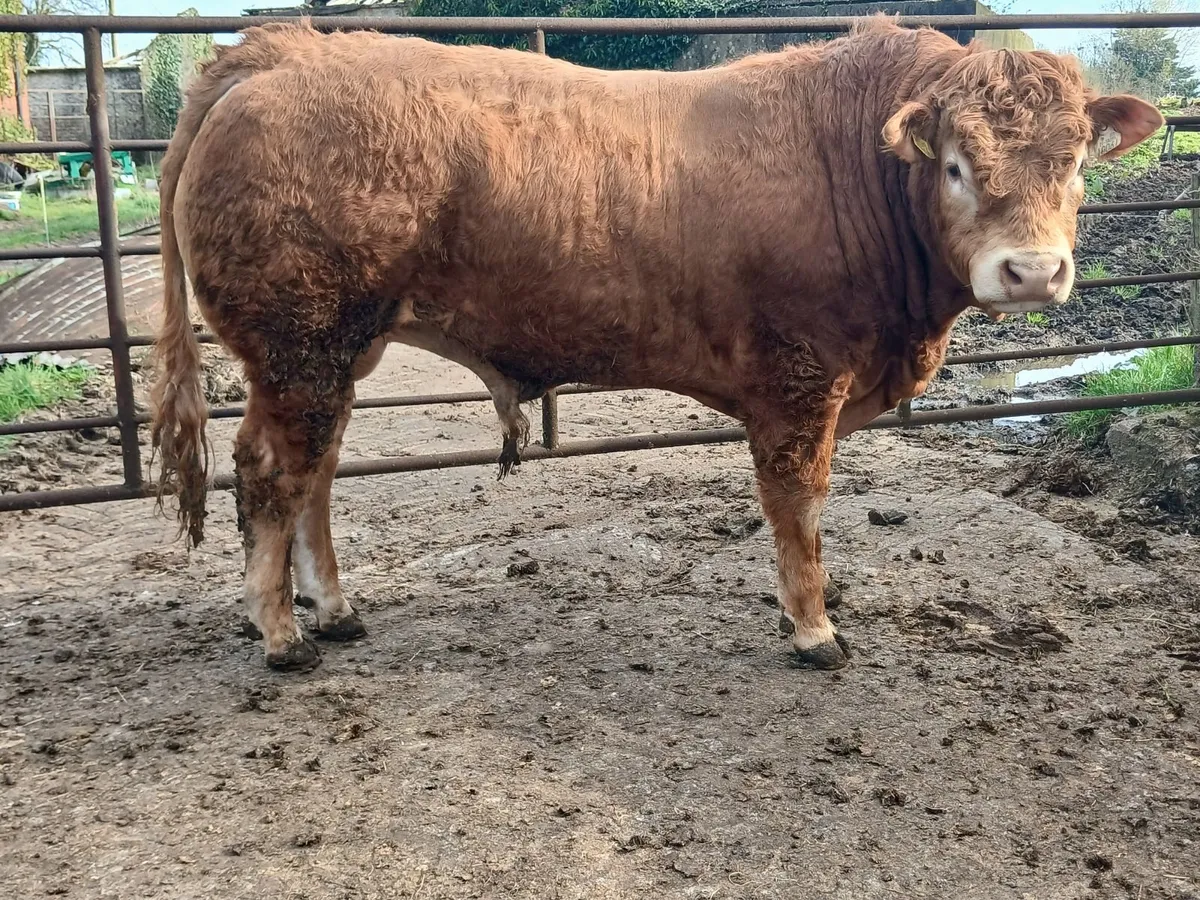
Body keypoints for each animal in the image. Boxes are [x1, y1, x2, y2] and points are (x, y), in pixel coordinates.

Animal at [149, 17, 1161, 672]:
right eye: (954, 166)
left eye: (1077, 161)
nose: (1031, 271)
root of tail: (280, 53)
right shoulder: (800, 377)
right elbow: (798, 500)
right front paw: (813, 627)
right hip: (297, 345)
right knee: (272, 470)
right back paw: (282, 636)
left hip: (335, 352)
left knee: (316, 470)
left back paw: (335, 611)